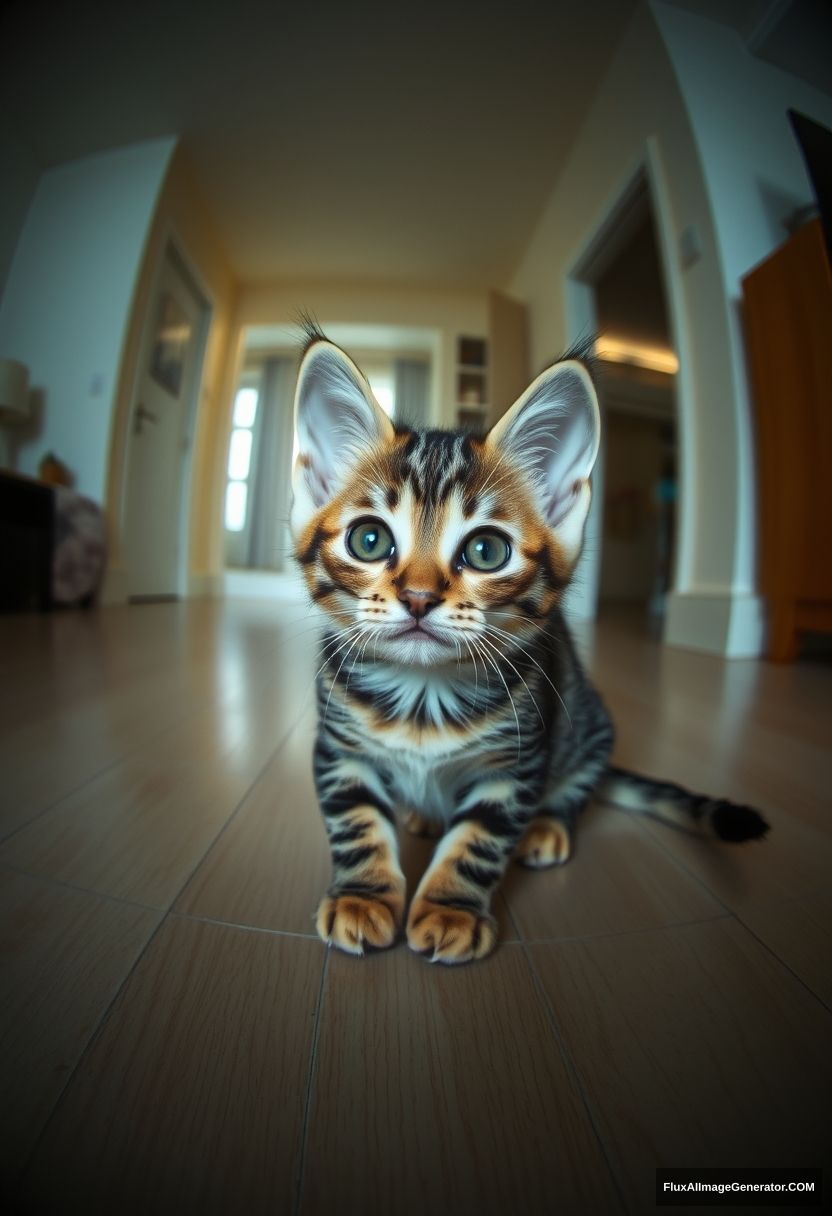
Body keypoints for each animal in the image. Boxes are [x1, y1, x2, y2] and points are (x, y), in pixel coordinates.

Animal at [289, 328, 768, 963]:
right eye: (369, 540)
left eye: (487, 551)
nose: (418, 596)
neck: (422, 698)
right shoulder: (340, 750)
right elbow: (355, 824)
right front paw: (362, 897)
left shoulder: (518, 764)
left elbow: (478, 842)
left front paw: (450, 910)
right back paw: (421, 815)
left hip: (587, 720)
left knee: (577, 785)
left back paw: (545, 827)